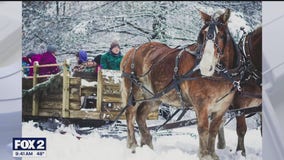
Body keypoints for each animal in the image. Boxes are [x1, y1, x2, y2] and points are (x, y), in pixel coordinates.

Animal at [120, 8, 240, 160]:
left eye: (222, 36)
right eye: (203, 34)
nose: (205, 67)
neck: (219, 75)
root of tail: (132, 51)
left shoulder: (222, 107)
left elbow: (213, 130)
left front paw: (212, 154)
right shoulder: (201, 105)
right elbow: (203, 129)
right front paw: (204, 155)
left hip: (155, 97)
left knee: (140, 115)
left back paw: (148, 145)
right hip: (135, 92)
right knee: (130, 114)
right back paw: (133, 146)